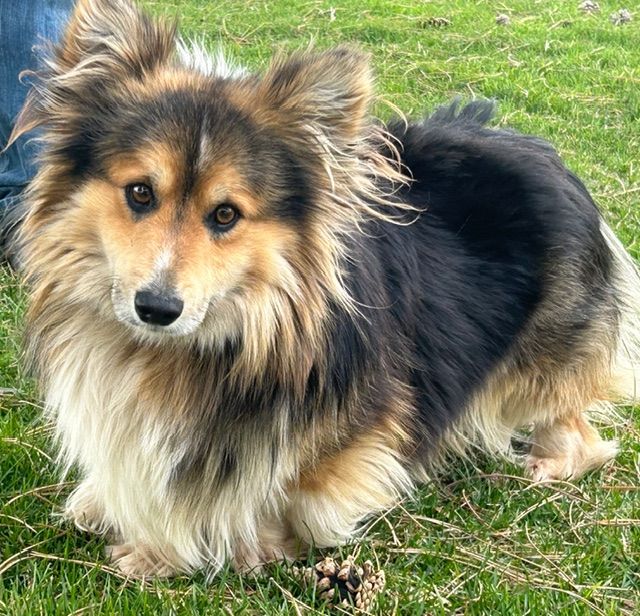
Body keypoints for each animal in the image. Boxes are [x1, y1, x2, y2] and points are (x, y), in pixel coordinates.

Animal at [9, 0, 640, 577]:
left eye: (225, 214)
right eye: (140, 192)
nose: (157, 308)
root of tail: (542, 154)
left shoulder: (363, 421)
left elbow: (295, 490)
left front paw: (227, 547)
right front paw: (106, 504)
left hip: (544, 355)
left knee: (570, 414)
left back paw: (550, 461)